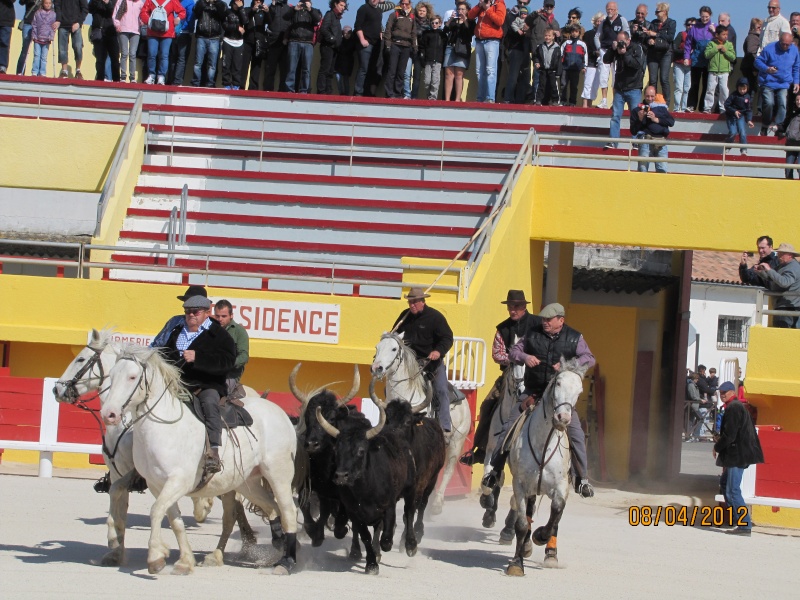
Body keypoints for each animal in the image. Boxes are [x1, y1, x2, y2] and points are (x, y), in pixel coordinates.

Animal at [53, 330, 258, 568]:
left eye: (81, 359)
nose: (57, 388)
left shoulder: (137, 472)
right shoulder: (118, 473)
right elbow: (118, 505)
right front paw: (116, 549)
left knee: (233, 509)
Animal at [99, 344, 298, 576]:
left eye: (132, 377)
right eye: (111, 376)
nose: (109, 414)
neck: (164, 428)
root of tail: (279, 413)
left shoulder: (178, 482)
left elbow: (156, 511)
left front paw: (156, 557)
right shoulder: (157, 485)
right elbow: (173, 519)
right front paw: (185, 561)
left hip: (278, 474)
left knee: (288, 511)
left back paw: (287, 562)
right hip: (247, 482)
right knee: (270, 508)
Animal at [372, 332, 472, 516]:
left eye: (394, 348)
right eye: (377, 347)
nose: (377, 368)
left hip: (456, 443)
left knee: (448, 470)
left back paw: (437, 504)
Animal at [506, 358, 588, 576]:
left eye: (579, 390)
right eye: (558, 383)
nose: (563, 418)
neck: (542, 444)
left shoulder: (561, 486)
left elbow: (556, 515)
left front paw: (541, 536)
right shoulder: (520, 484)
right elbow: (521, 523)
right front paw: (516, 563)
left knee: (554, 519)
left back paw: (550, 554)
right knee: (528, 513)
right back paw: (525, 547)